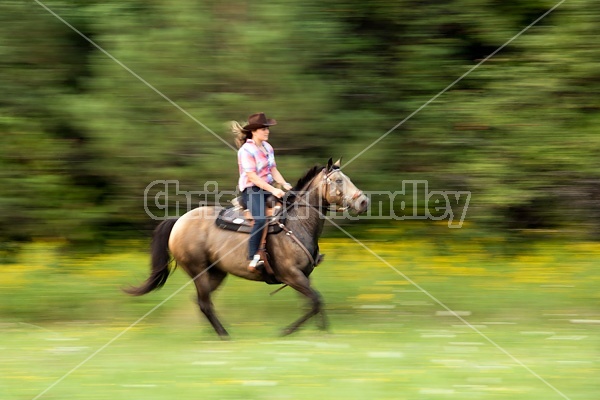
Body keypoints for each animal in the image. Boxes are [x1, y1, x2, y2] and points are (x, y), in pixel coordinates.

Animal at [126, 159, 368, 338]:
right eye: (338, 180)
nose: (363, 201)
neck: (295, 224)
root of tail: (179, 221)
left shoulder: (303, 276)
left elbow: (313, 302)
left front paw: (322, 331)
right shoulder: (291, 275)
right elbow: (316, 300)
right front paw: (287, 331)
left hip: (216, 273)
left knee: (202, 300)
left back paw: (212, 332)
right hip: (198, 270)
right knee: (204, 302)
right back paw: (224, 334)